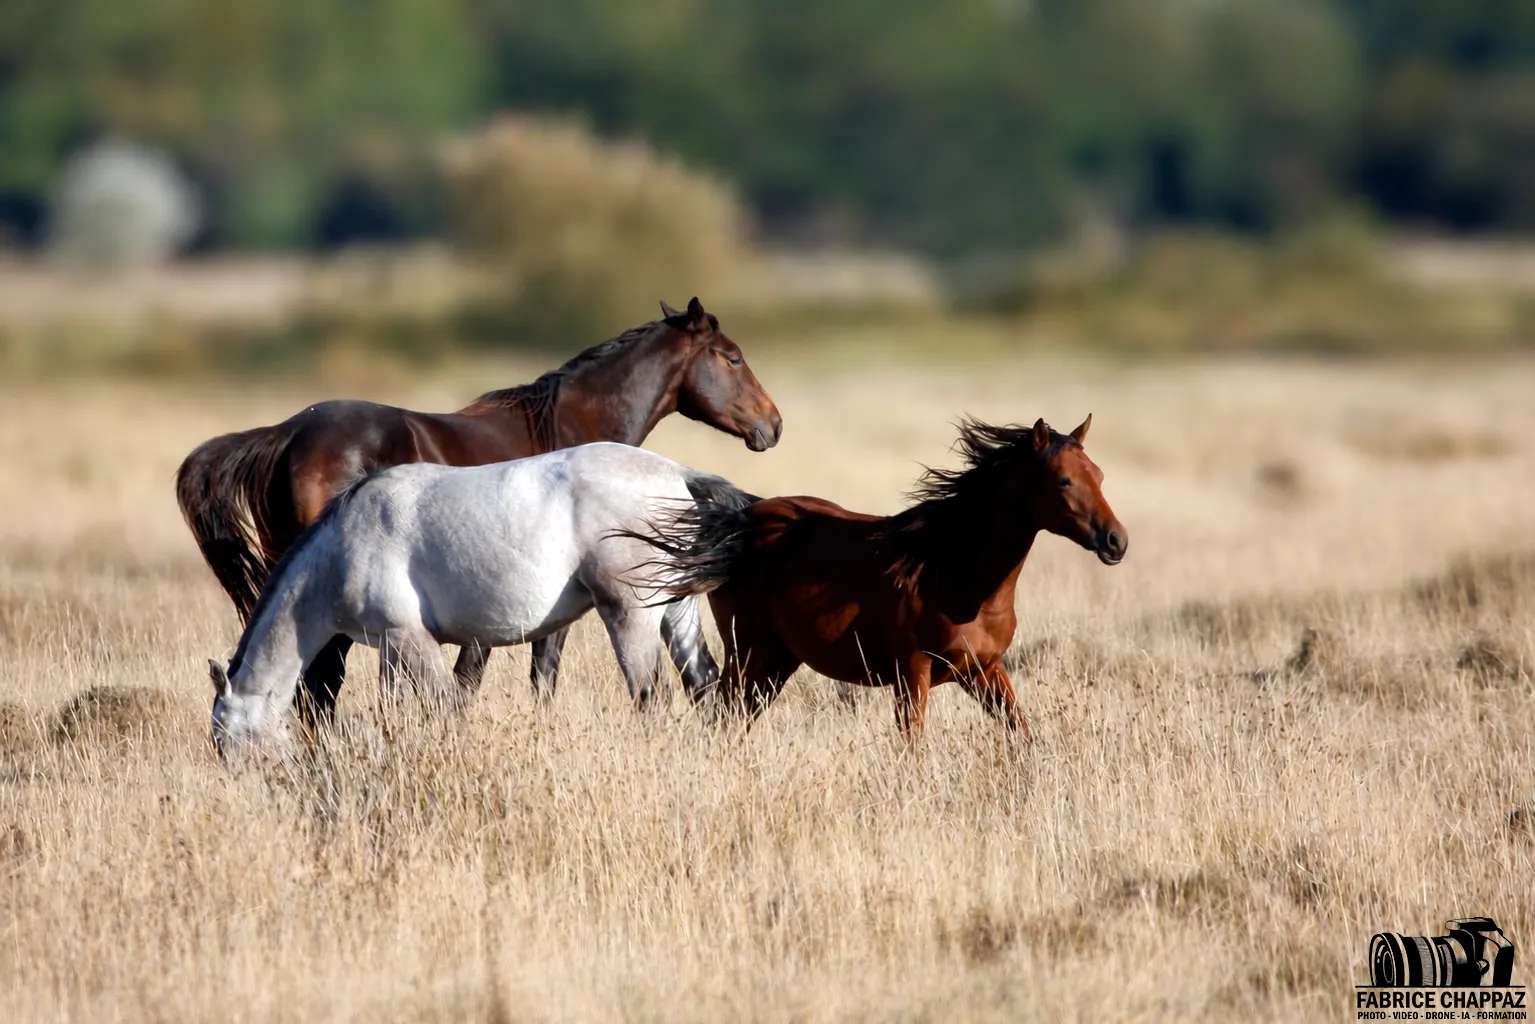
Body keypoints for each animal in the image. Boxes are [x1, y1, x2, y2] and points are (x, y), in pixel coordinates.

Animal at [178, 297, 781, 723]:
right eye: (732, 357)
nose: (772, 426)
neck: (570, 423)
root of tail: (287, 433)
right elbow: (530, 674)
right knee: (320, 683)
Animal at [206, 442, 752, 758]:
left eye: (224, 739)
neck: (344, 543)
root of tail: (676, 473)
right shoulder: (390, 648)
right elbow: (397, 709)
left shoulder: (412, 640)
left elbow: (447, 706)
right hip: (676, 611)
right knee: (705, 687)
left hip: (631, 615)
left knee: (651, 697)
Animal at [625, 416, 1127, 740]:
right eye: (1063, 480)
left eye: (1100, 475)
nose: (1116, 540)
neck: (954, 571)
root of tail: (742, 521)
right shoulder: (912, 673)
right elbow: (912, 746)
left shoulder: (984, 670)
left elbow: (1022, 734)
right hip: (750, 653)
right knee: (721, 718)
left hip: (777, 661)